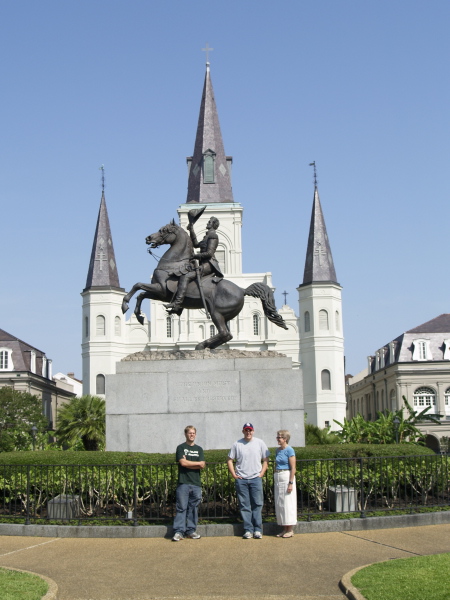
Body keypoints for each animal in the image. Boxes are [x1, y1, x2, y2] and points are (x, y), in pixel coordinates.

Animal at [121, 223, 286, 350]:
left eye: (164, 230)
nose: (148, 238)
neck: (172, 263)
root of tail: (242, 289)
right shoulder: (160, 294)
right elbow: (141, 294)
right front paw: (138, 315)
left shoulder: (161, 290)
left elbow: (137, 286)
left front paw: (125, 305)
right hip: (224, 316)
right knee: (226, 335)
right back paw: (206, 345)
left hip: (216, 313)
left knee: (225, 333)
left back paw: (201, 345)